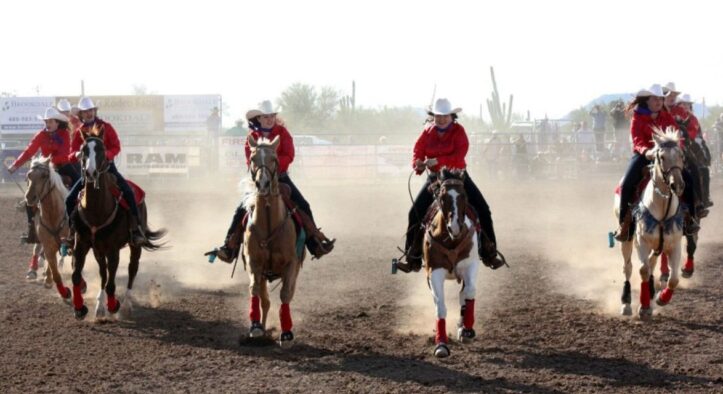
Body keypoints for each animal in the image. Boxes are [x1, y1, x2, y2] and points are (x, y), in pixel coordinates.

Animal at [424, 168, 480, 358]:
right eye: (442, 197)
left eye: (464, 195)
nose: (455, 227)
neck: (452, 239)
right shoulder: (434, 272)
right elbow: (440, 306)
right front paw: (441, 344)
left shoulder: (470, 267)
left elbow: (469, 293)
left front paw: (467, 330)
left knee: (464, 294)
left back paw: (463, 327)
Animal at [612, 127, 688, 318]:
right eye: (662, 157)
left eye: (681, 155)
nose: (677, 185)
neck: (661, 207)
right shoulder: (642, 242)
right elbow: (643, 270)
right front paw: (644, 306)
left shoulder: (674, 245)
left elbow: (674, 279)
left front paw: (661, 298)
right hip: (627, 240)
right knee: (628, 268)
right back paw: (626, 302)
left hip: (658, 246)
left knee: (652, 264)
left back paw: (653, 293)